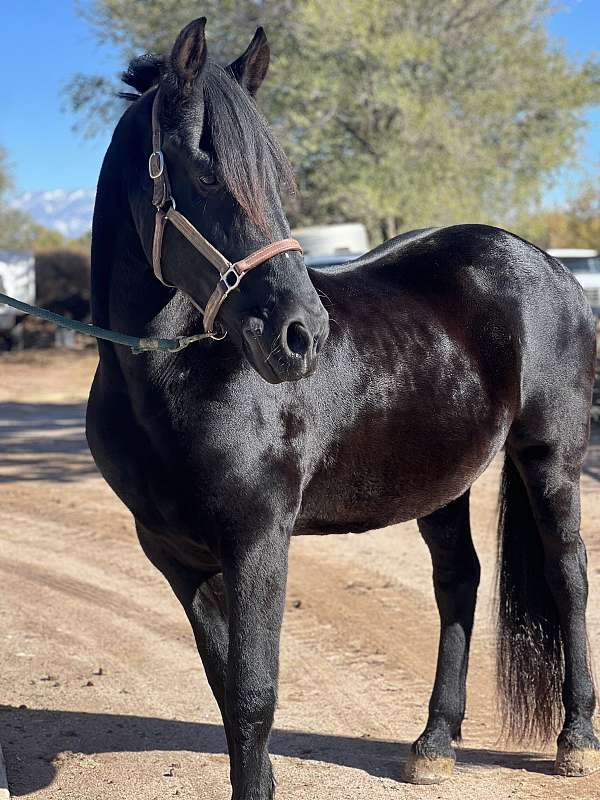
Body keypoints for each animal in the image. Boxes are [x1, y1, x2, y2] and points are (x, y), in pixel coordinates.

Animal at [86, 15, 596, 796]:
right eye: (203, 170)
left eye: (277, 175)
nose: (302, 334)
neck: (171, 379)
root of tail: (548, 265)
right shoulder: (175, 555)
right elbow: (227, 694)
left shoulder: (258, 539)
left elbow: (254, 693)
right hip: (439, 477)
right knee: (459, 581)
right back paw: (435, 743)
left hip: (551, 459)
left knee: (568, 576)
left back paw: (576, 739)